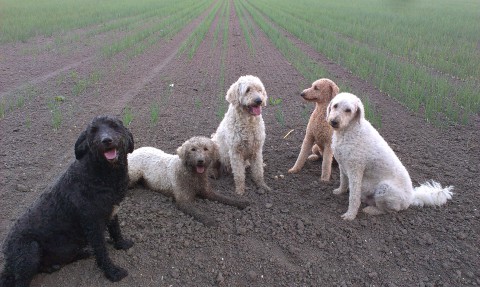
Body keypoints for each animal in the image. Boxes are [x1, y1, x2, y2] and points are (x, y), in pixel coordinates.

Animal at [0, 116, 135, 286]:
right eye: (93, 131)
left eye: (114, 126)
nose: (106, 140)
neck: (101, 174)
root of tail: (6, 253)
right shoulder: (93, 224)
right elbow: (102, 251)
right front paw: (112, 272)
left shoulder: (112, 211)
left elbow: (116, 230)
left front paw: (121, 244)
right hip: (29, 250)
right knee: (20, 280)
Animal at [326, 93, 454, 222]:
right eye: (335, 106)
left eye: (348, 110)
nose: (334, 121)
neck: (349, 130)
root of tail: (411, 197)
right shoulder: (343, 165)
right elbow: (343, 181)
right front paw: (340, 191)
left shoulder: (355, 170)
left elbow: (353, 197)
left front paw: (350, 215)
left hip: (385, 189)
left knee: (390, 210)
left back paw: (371, 210)